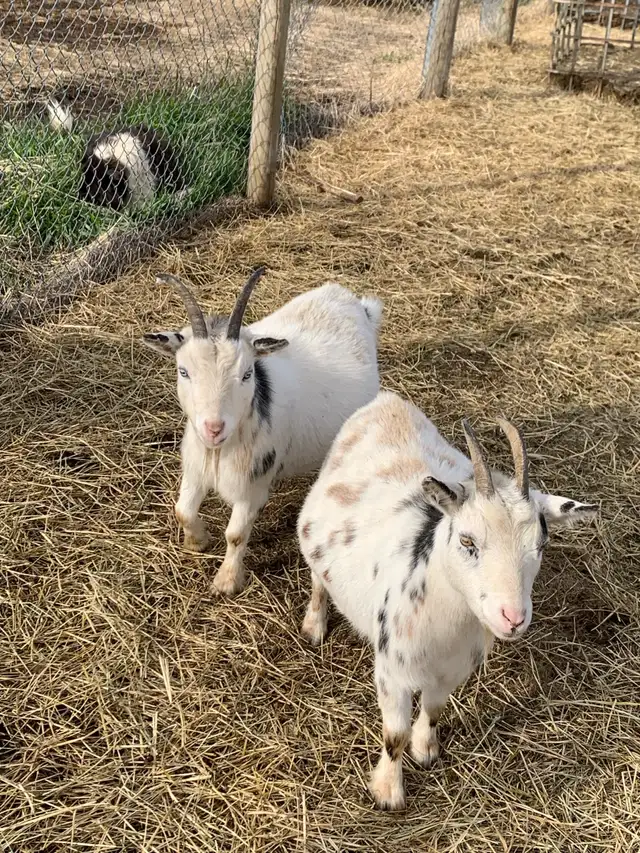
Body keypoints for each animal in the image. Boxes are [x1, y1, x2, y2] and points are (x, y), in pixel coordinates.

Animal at [143, 268, 383, 595]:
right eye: (183, 371)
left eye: (247, 374)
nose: (214, 428)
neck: (221, 450)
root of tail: (353, 301)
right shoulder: (195, 468)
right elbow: (183, 511)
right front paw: (197, 542)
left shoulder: (253, 486)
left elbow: (235, 534)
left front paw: (226, 581)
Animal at [297, 391, 598, 810]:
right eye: (467, 540)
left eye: (542, 543)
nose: (513, 617)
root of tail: (388, 401)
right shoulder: (391, 671)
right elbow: (394, 734)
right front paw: (388, 792)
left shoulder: (455, 667)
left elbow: (435, 709)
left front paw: (426, 750)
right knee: (318, 580)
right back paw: (314, 624)